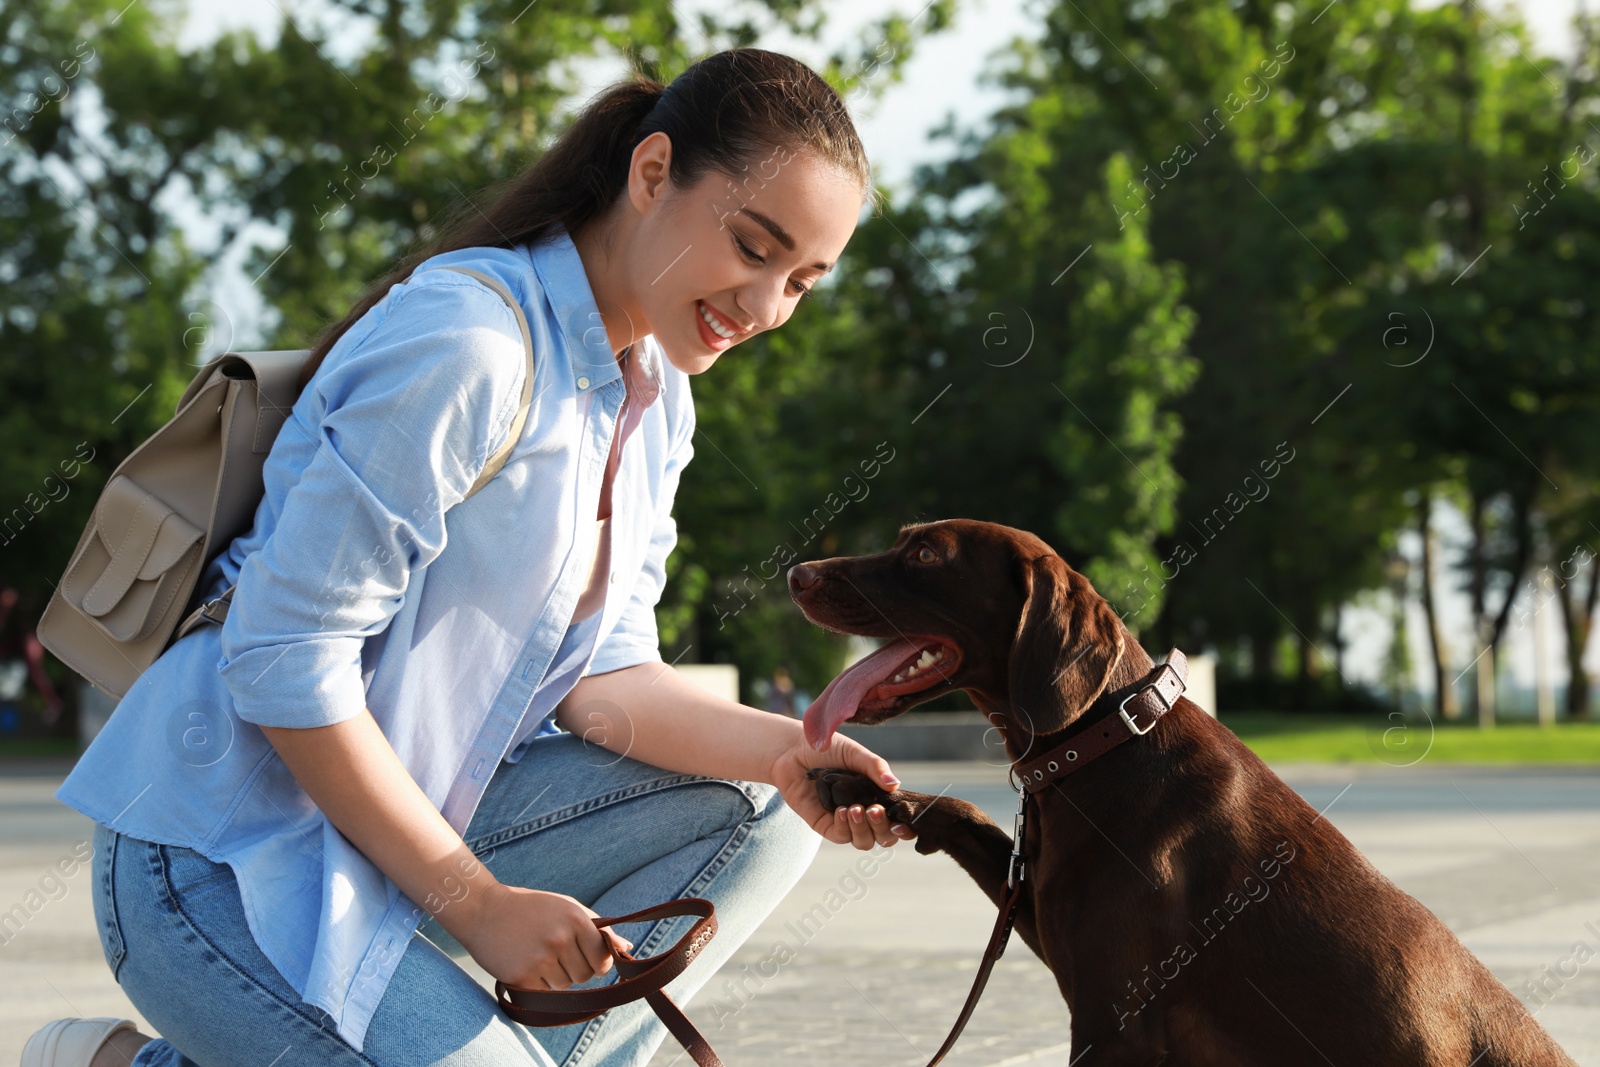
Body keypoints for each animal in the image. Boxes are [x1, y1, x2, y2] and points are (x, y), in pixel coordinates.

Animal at [787, 521, 1574, 1062]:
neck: (1102, 744)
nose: (795, 571)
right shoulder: (1048, 923)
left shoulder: (1113, 1021)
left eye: (925, 555)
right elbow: (968, 811)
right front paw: (858, 786)